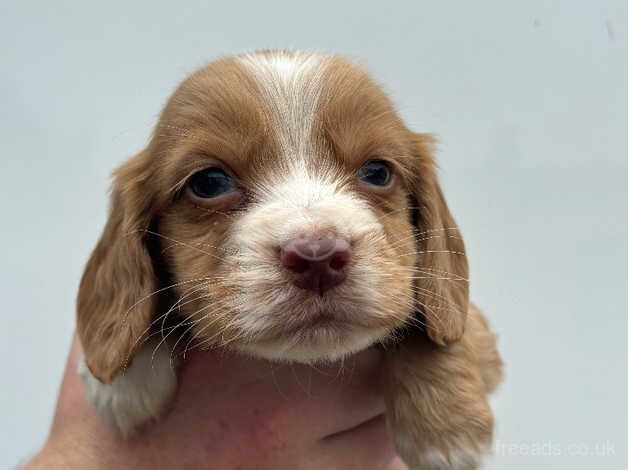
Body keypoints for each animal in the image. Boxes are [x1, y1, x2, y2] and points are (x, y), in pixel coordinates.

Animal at [76, 50, 502, 470]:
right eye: (209, 183)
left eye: (378, 172)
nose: (318, 257)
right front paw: (121, 378)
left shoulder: (476, 327)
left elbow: (438, 316)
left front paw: (448, 429)